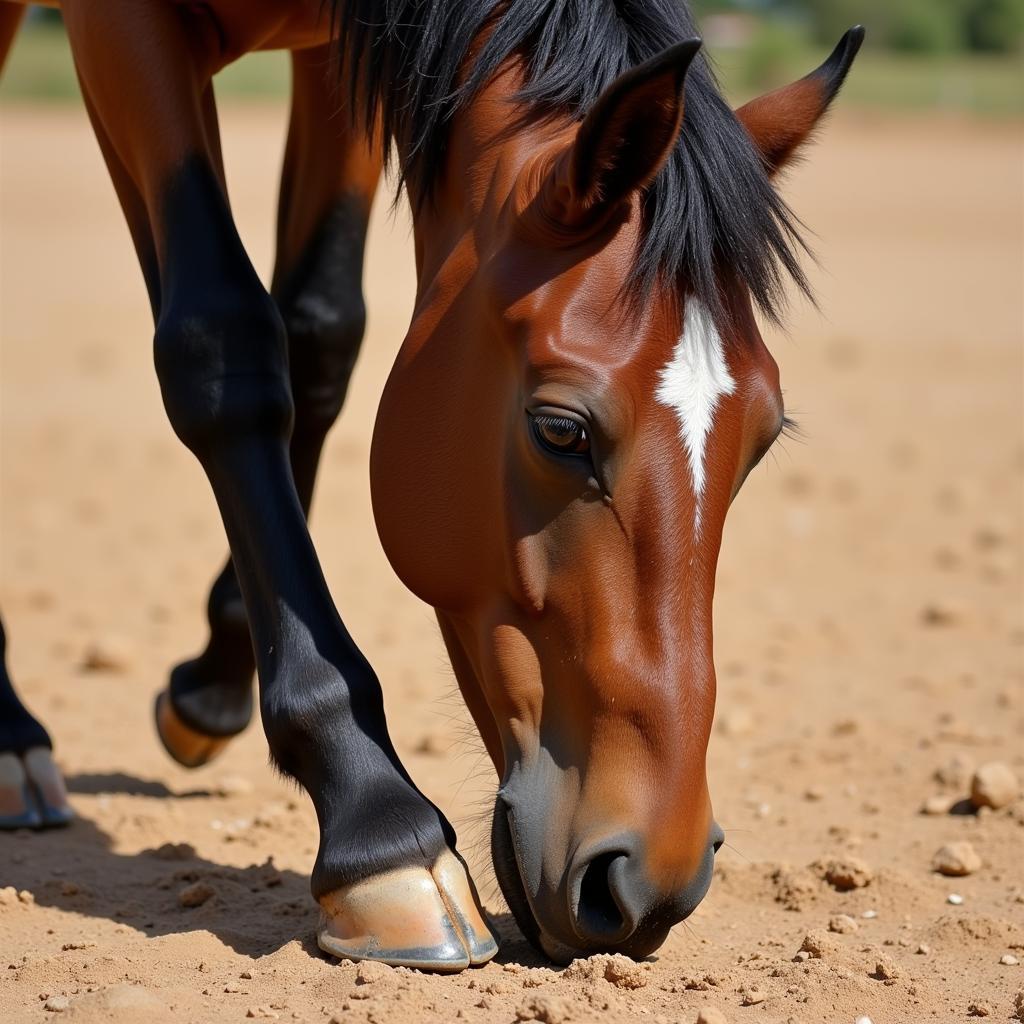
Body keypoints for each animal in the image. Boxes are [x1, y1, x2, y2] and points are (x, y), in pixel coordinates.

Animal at [0, 0, 864, 970]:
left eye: (761, 439)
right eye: (560, 431)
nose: (653, 880)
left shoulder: (337, 64)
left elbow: (319, 332)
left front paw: (217, 680)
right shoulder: (118, 31)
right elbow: (224, 340)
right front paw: (378, 828)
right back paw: (12, 744)